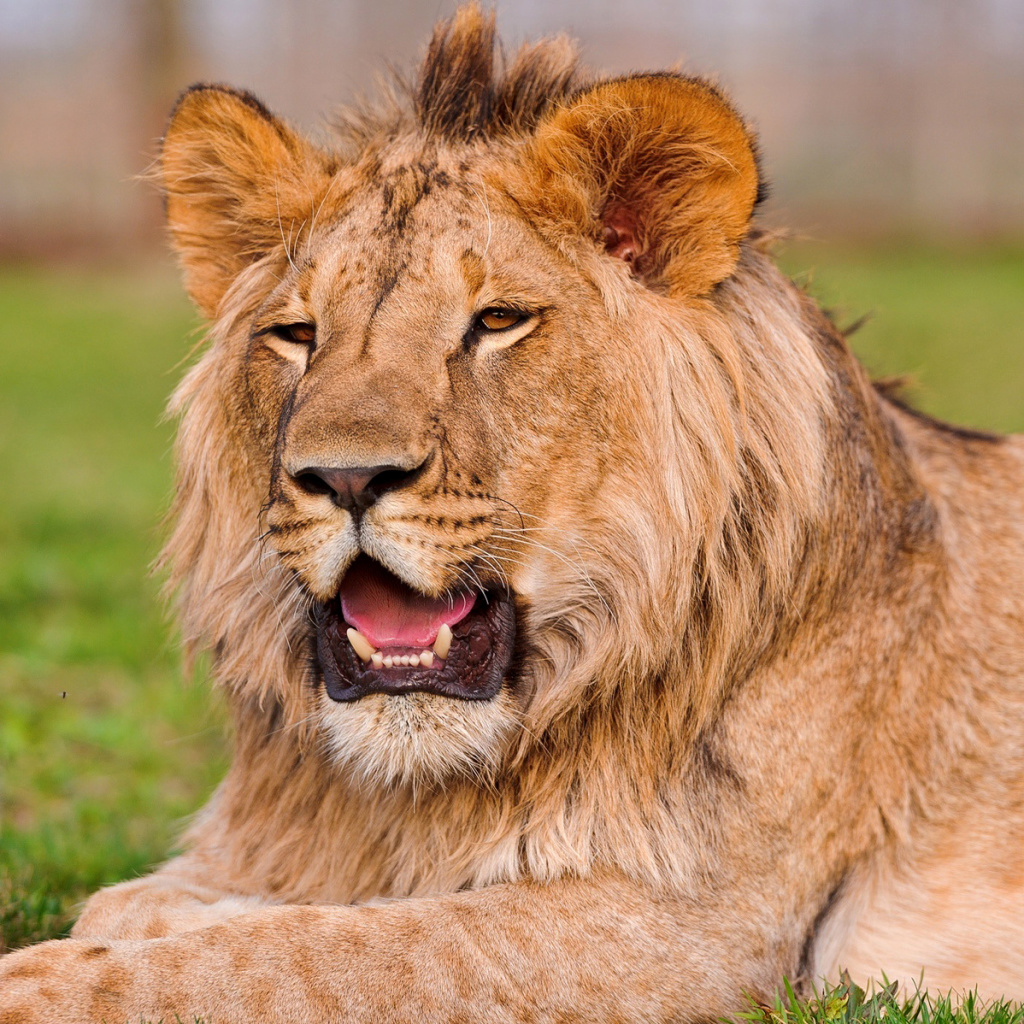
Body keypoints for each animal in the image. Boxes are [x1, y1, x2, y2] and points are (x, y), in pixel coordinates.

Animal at [2, 8, 1024, 1024]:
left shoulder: (698, 934)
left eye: (496, 323)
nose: (345, 477)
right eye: (297, 335)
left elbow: (315, 954)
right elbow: (156, 907)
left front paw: (39, 977)